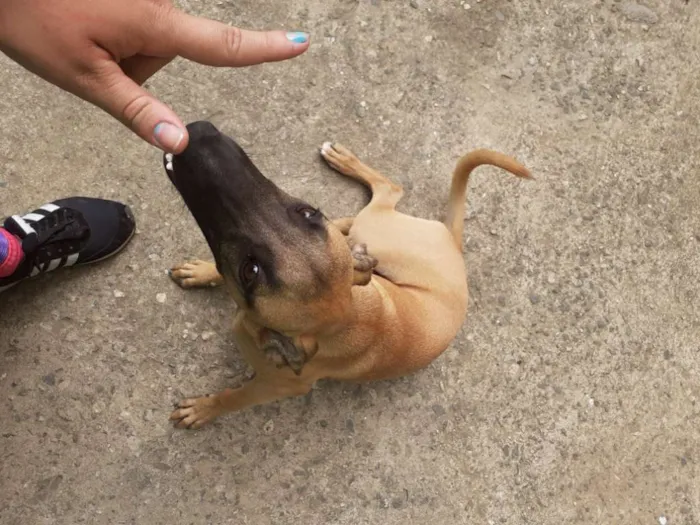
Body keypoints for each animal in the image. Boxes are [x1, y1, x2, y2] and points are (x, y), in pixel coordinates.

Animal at [164, 121, 532, 428]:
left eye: (249, 271)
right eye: (307, 211)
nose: (200, 139)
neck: (345, 316)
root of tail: (454, 243)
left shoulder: (275, 386)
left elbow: (234, 397)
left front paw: (204, 409)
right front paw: (201, 272)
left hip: (375, 230)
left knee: (390, 190)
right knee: (368, 207)